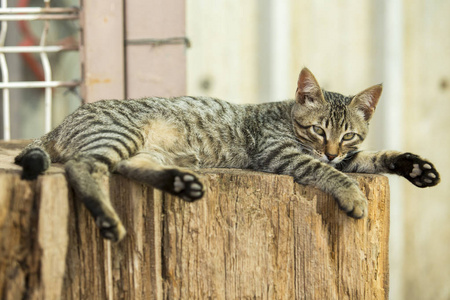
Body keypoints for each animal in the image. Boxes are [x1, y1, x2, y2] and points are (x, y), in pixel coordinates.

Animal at [14, 67, 440, 241]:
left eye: (348, 135)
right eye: (318, 130)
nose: (332, 151)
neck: (287, 118)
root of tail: (63, 122)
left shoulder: (345, 155)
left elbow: (371, 157)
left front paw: (415, 167)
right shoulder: (282, 153)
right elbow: (331, 174)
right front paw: (353, 195)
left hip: (138, 147)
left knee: (127, 166)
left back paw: (180, 181)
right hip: (119, 133)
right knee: (84, 167)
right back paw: (107, 219)